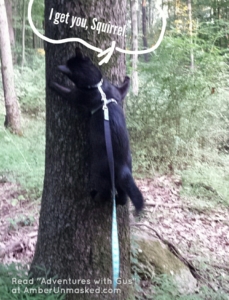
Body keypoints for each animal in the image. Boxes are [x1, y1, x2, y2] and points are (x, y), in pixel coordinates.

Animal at [50, 48, 143, 211]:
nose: (59, 66)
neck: (96, 86)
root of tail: (122, 168)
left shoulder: (75, 95)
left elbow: (64, 90)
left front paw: (51, 83)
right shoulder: (117, 91)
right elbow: (124, 87)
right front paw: (127, 77)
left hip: (98, 173)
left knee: (105, 193)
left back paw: (94, 196)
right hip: (125, 175)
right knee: (123, 196)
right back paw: (118, 201)